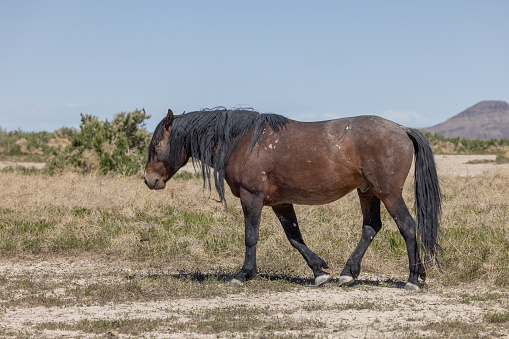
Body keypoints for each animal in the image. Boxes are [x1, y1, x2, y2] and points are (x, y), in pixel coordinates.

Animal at [144, 107, 440, 290]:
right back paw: (348, 273)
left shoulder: (252, 198)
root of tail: (402, 128)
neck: (242, 142)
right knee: (370, 228)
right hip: (367, 191)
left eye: (157, 145)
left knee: (407, 226)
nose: (149, 180)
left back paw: (413, 279)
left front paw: (243, 274)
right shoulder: (281, 202)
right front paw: (320, 272)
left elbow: (250, 236)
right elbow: (295, 237)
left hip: (388, 193)